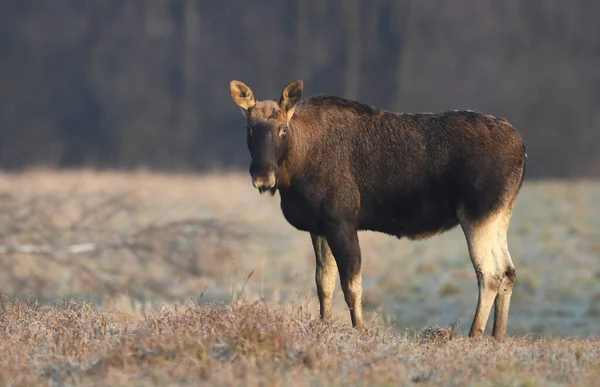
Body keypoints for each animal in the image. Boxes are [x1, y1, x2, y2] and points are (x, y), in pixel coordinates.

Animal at [230, 79, 524, 340]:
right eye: (249, 128)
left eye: (282, 128)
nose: (263, 176)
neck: (295, 169)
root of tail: (522, 149)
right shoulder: (319, 227)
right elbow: (323, 283)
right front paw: (324, 324)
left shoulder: (342, 221)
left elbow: (351, 285)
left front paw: (359, 330)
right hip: (500, 216)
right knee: (508, 270)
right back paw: (498, 337)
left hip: (477, 214)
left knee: (490, 273)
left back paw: (474, 335)